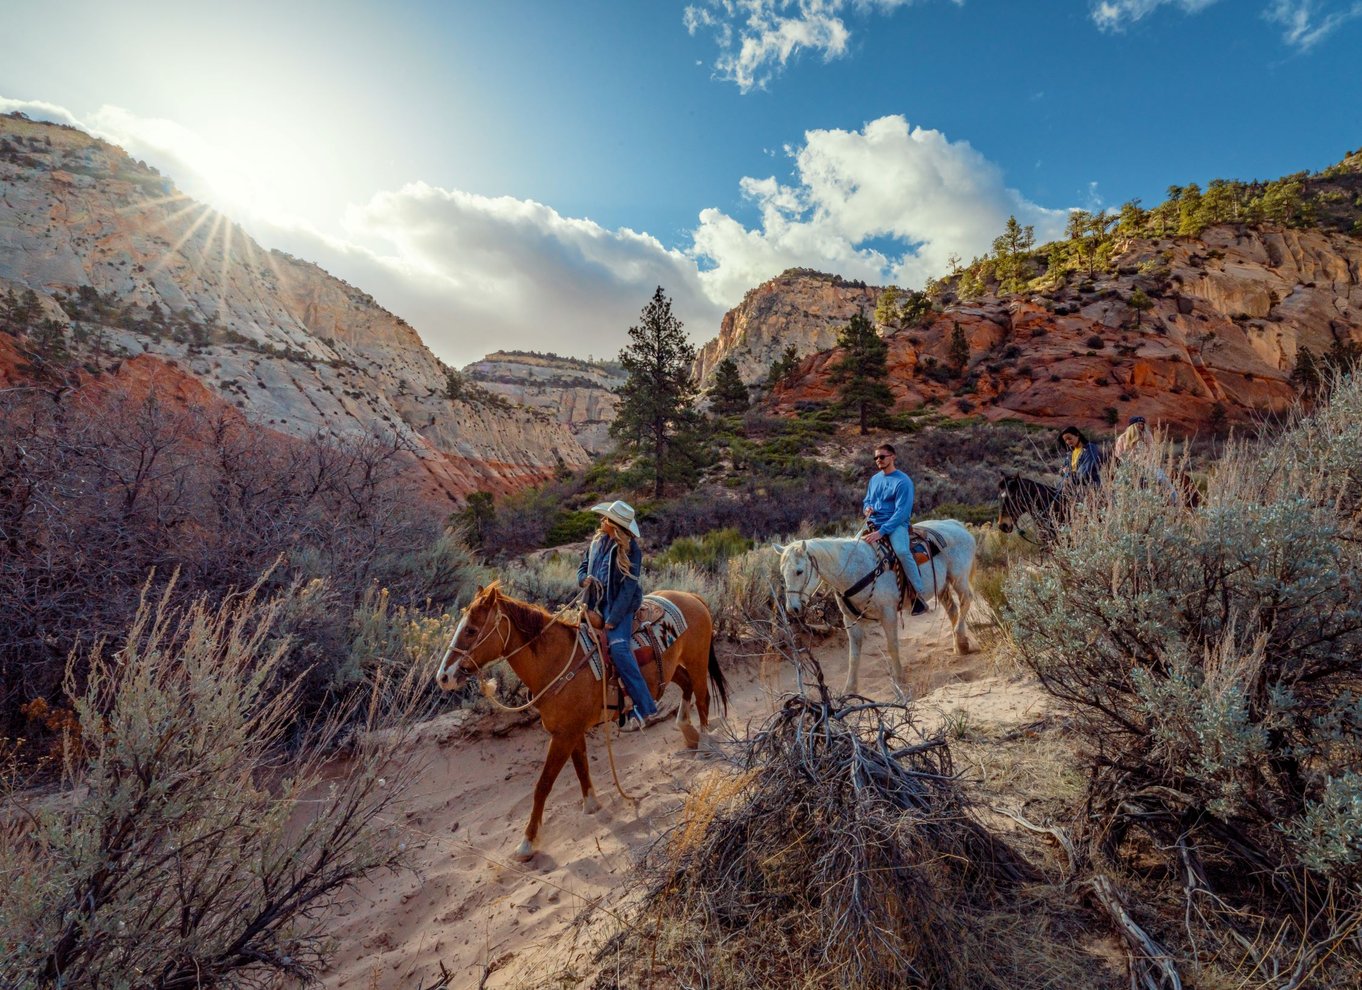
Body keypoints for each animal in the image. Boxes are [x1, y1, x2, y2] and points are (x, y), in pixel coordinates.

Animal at [441, 580, 730, 860]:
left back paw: (705, 744)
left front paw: (527, 843)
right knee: (686, 686)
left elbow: (543, 785)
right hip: (671, 668)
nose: (443, 677)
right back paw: (687, 731)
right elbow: (581, 766)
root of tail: (691, 597)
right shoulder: (571, 732)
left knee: (702, 697)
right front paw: (591, 805)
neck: (557, 663)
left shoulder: (563, 736)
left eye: (471, 630)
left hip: (696, 658)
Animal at [779, 522, 980, 694]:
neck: (857, 569)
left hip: (959, 578)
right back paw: (959, 645)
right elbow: (853, 656)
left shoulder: (888, 613)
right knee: (953, 610)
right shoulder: (850, 620)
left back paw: (961, 640)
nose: (792, 608)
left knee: (966, 601)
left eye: (799, 571)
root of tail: (957, 525)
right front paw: (849, 690)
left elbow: (892, 646)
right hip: (943, 586)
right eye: (782, 573)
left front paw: (899, 679)